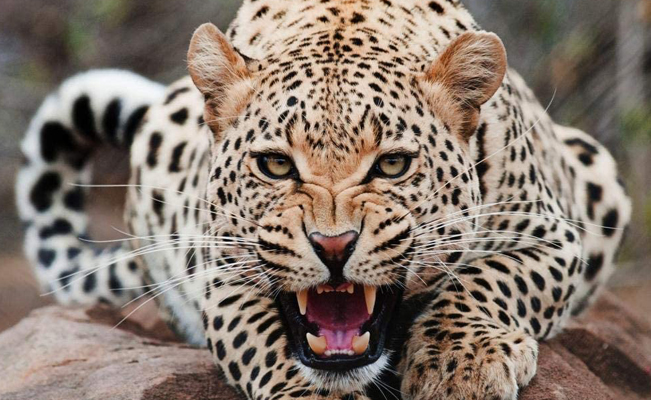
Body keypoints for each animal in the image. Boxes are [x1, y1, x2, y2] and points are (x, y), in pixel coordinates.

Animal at [16, 0, 632, 399]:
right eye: (275, 165)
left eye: (392, 165)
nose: (333, 246)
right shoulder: (221, 272)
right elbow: (265, 343)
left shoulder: (553, 236)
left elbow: (491, 279)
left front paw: (461, 365)